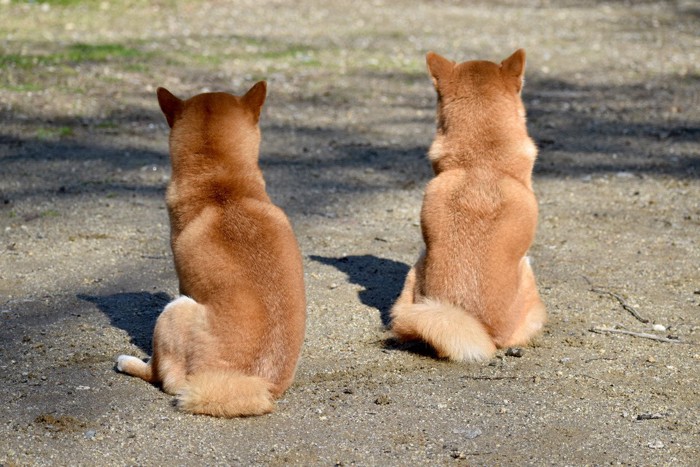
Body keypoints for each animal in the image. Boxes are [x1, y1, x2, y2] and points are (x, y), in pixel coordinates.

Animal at [117, 82, 306, 418]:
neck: (221, 186)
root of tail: (254, 382)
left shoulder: (183, 282)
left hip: (174, 311)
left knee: (160, 374)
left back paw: (130, 362)